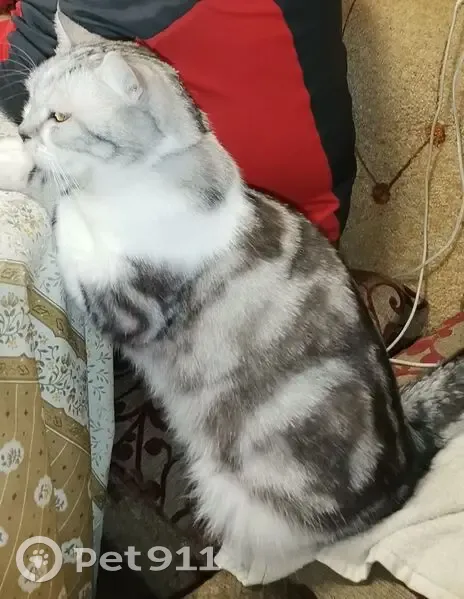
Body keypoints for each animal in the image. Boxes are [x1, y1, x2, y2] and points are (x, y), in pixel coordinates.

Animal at [0, 10, 463, 586]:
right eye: (29, 98)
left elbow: (65, 206)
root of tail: (406, 449)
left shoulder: (128, 305)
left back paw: (241, 563)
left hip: (246, 492)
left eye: (60, 117)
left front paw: (31, 172)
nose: (23, 129)